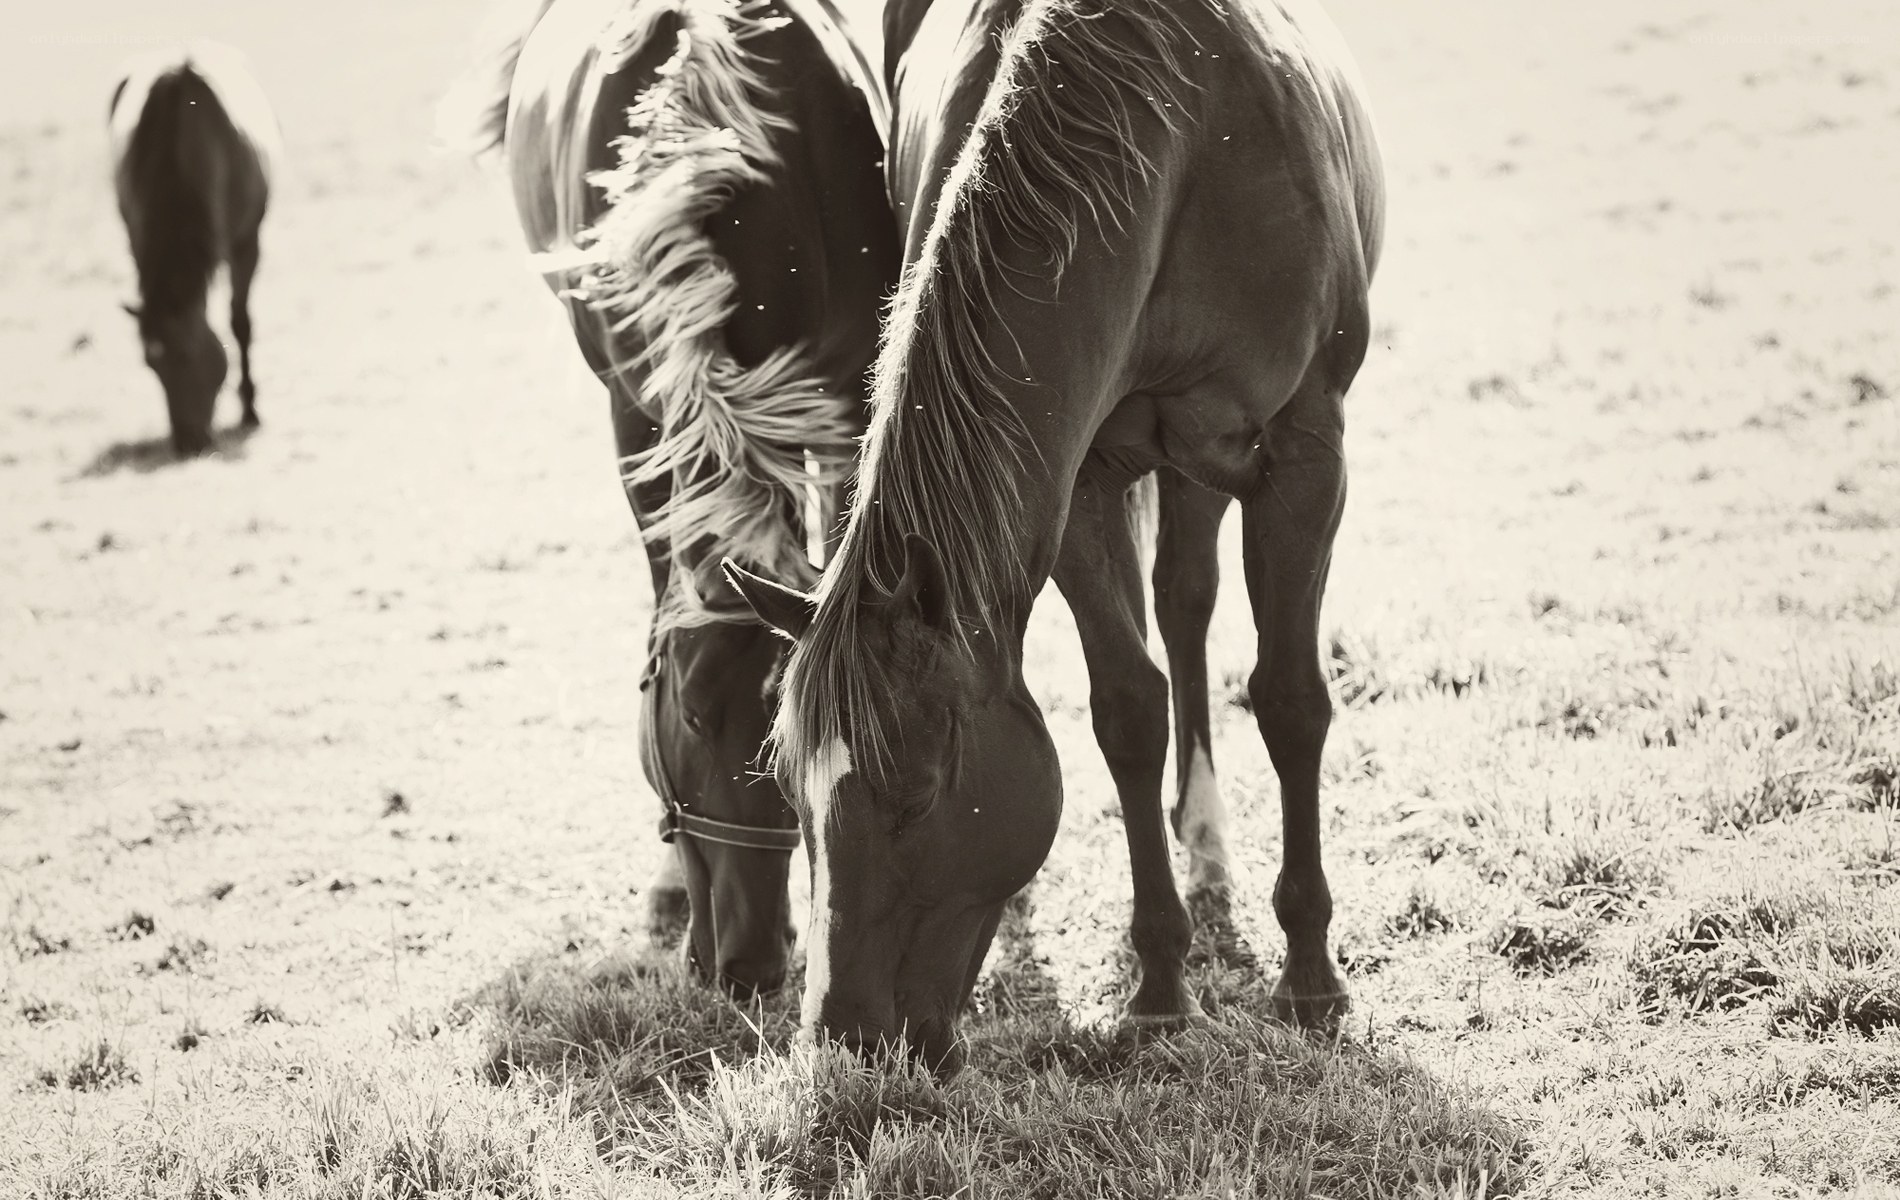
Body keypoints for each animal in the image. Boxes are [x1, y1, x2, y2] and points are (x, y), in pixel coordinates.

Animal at [110, 43, 278, 456]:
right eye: (151, 366)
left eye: (186, 355)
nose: (188, 443)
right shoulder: (138, 240)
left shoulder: (247, 242)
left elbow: (240, 323)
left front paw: (250, 410)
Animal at [726, 0, 1384, 1074]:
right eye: (787, 791)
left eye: (917, 791)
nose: (845, 1042)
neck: (1178, 136)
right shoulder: (1078, 479)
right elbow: (1128, 709)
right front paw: (1159, 988)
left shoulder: (1304, 453)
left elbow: (1289, 700)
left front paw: (1311, 980)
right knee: (1179, 604)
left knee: (1191, 602)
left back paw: (1210, 839)